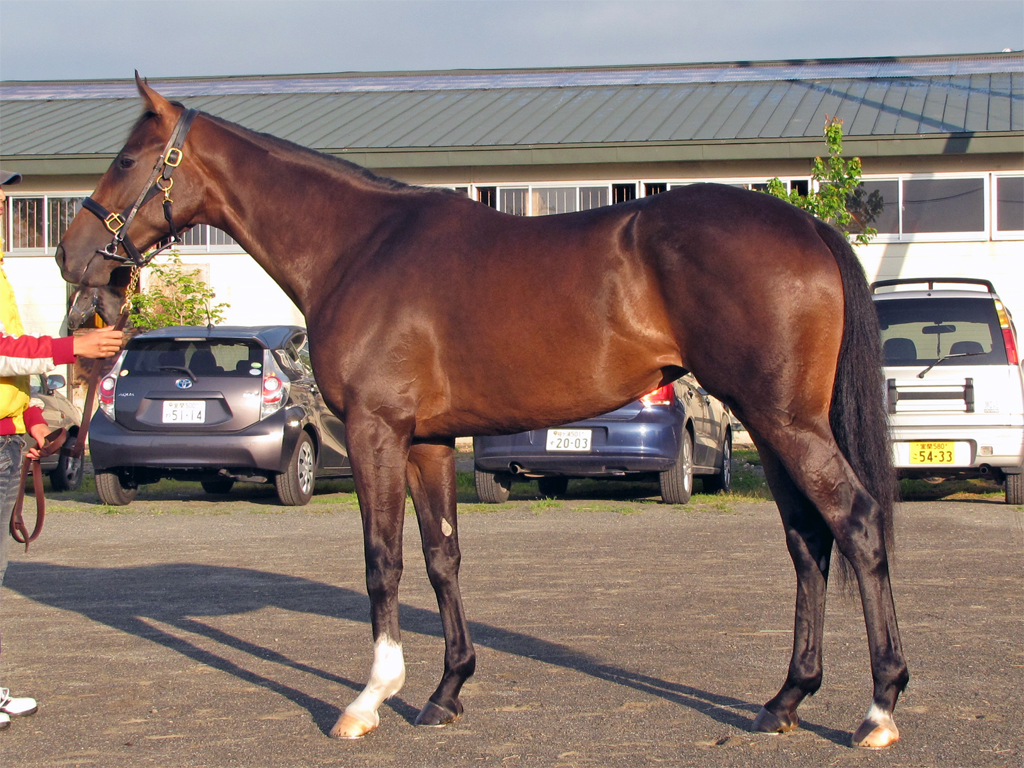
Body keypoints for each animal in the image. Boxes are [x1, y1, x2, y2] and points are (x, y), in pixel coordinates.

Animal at [54, 78, 905, 753]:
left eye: (126, 160)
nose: (73, 254)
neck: (359, 246)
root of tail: (807, 225)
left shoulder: (376, 431)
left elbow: (382, 561)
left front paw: (370, 699)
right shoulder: (429, 441)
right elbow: (442, 557)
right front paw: (445, 692)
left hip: (783, 421)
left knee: (856, 524)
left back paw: (879, 708)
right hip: (772, 422)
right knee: (807, 541)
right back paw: (785, 700)